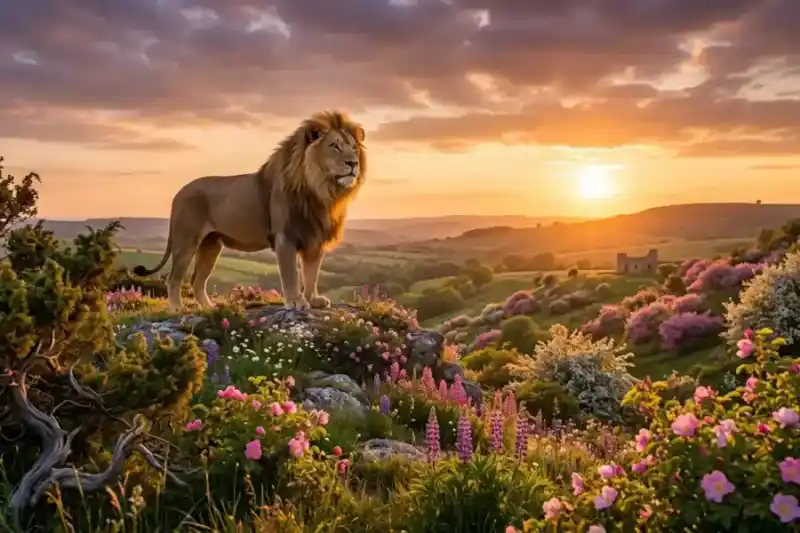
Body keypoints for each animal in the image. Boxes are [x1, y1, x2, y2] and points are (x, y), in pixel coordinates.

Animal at [132, 110, 366, 313]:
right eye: (334, 146)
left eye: (354, 148)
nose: (353, 163)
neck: (321, 191)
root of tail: (178, 193)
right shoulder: (285, 237)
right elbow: (291, 274)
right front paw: (295, 302)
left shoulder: (314, 239)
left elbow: (312, 274)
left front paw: (313, 299)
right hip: (187, 240)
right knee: (174, 278)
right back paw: (177, 309)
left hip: (211, 245)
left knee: (197, 280)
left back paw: (209, 308)